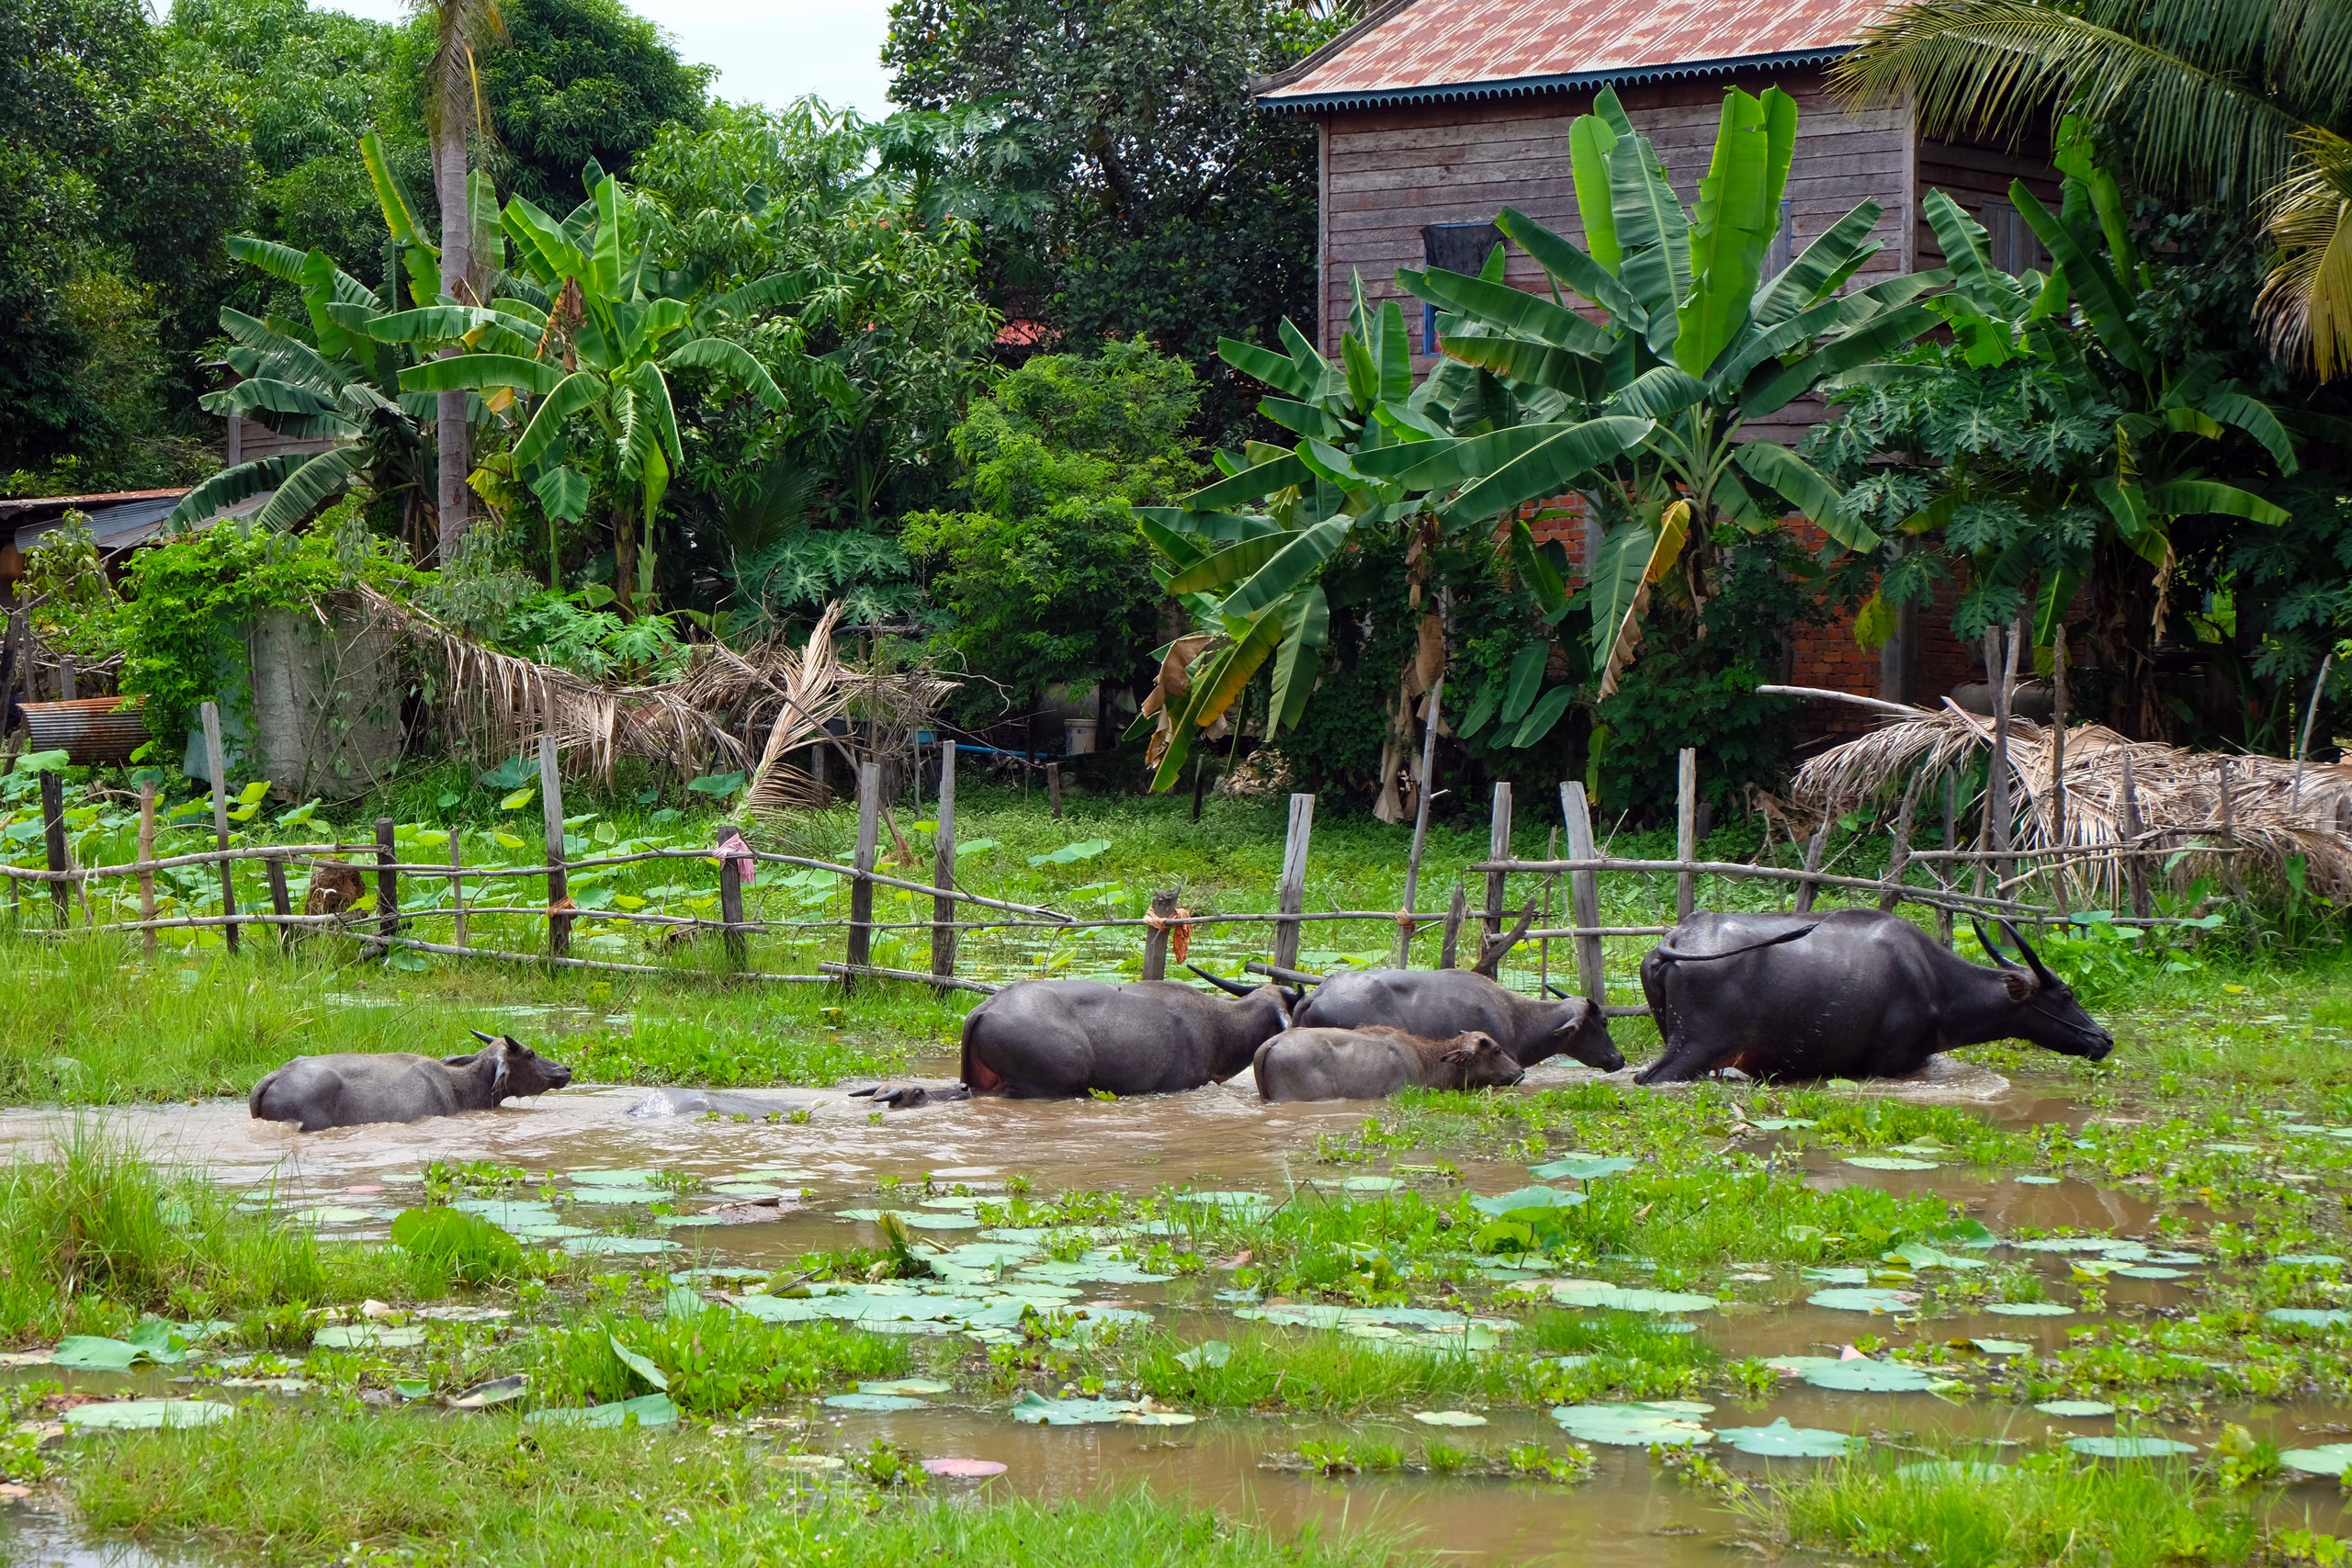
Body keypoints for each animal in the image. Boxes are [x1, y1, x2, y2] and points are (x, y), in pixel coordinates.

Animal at [1636, 911, 2117, 1086]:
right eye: (2067, 993)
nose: (2104, 1039)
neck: (1936, 982)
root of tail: (1676, 938)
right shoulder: (1888, 1064)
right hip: (1695, 1048)